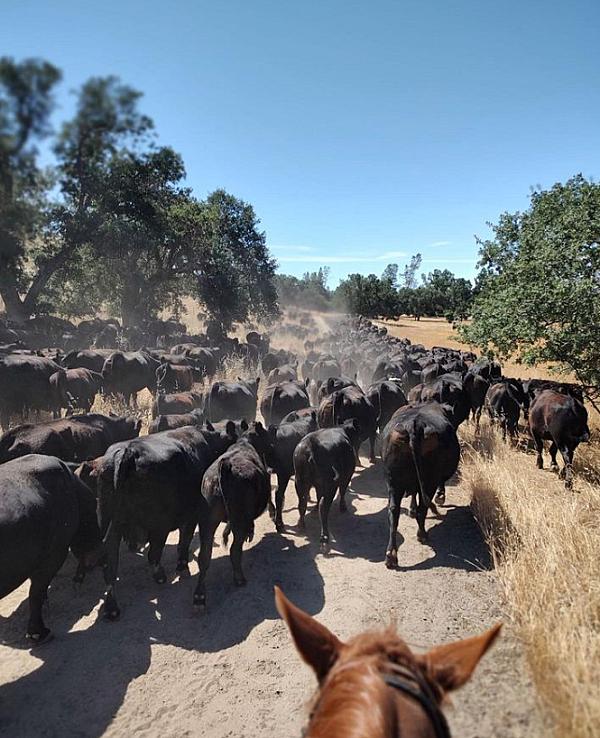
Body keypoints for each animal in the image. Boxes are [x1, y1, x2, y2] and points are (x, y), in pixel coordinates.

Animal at [0, 454, 103, 642]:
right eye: (93, 510)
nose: (98, 557)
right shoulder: (54, 554)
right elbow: (36, 593)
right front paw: (40, 635)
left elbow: (37, 592)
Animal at [193, 422, 277, 610]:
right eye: (265, 433)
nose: (272, 444)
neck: (246, 442)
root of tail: (225, 467)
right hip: (238, 519)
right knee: (234, 549)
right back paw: (239, 578)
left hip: (207, 521)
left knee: (204, 556)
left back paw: (199, 596)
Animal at [293, 419, 361, 552]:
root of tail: (311, 445)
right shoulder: (347, 476)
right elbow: (343, 491)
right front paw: (343, 507)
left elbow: (318, 496)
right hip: (330, 486)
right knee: (323, 507)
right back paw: (324, 537)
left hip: (300, 482)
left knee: (302, 503)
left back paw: (301, 524)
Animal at [381, 403, 460, 568]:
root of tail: (413, 425)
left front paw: (411, 509)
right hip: (429, 480)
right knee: (423, 506)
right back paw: (422, 534)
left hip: (393, 482)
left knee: (394, 511)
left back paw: (391, 555)